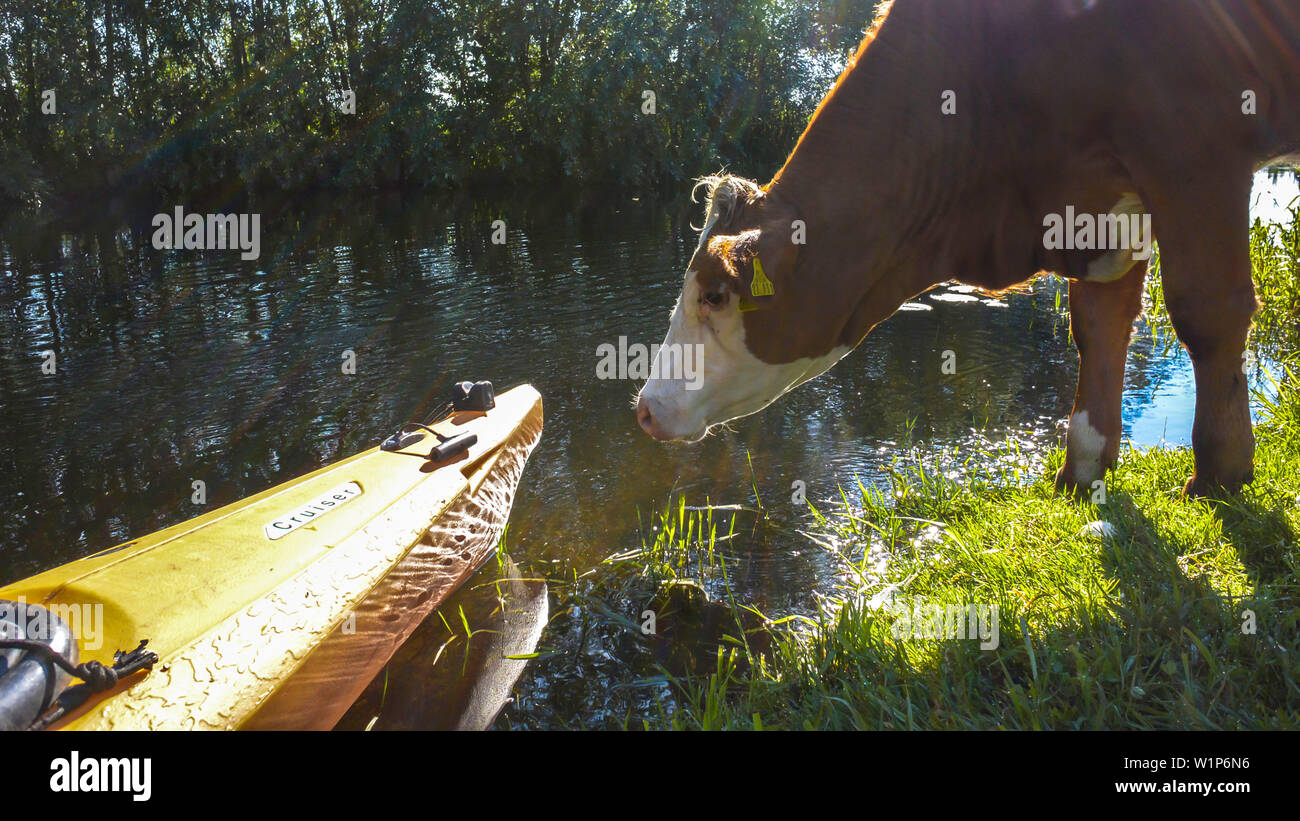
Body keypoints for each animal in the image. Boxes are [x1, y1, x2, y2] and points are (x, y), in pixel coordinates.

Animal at [637, 0, 1300, 493]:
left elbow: (1207, 314)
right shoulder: (1098, 204)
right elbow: (1099, 326)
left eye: (715, 295)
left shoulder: (1194, 150)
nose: (644, 408)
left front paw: (1221, 474)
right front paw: (1081, 474)